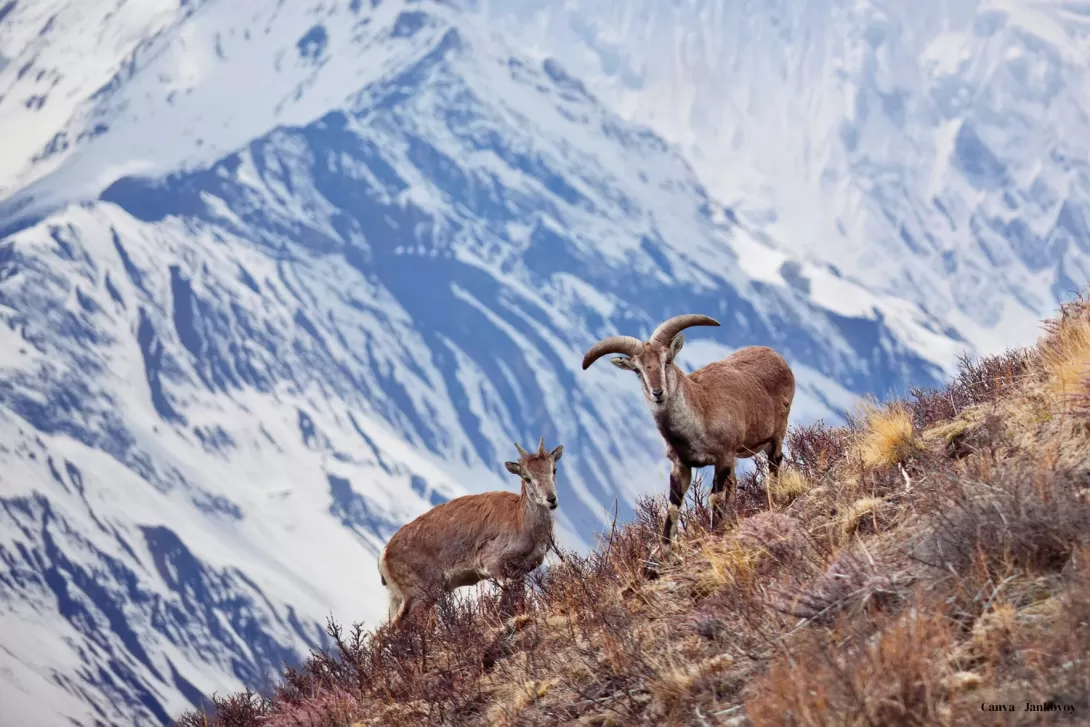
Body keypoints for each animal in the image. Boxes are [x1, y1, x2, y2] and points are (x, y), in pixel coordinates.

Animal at [378, 437, 564, 626]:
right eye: (527, 477)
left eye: (554, 469)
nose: (551, 499)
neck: (522, 523)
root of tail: (384, 555)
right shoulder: (493, 561)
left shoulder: (521, 570)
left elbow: (520, 599)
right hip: (419, 592)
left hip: (400, 597)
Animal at [581, 314, 795, 566]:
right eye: (637, 370)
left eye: (667, 360)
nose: (657, 392)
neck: (699, 413)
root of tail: (776, 357)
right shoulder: (681, 465)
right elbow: (673, 507)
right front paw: (666, 553)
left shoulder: (723, 455)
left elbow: (715, 497)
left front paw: (715, 533)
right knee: (735, 484)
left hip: (777, 433)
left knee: (774, 465)